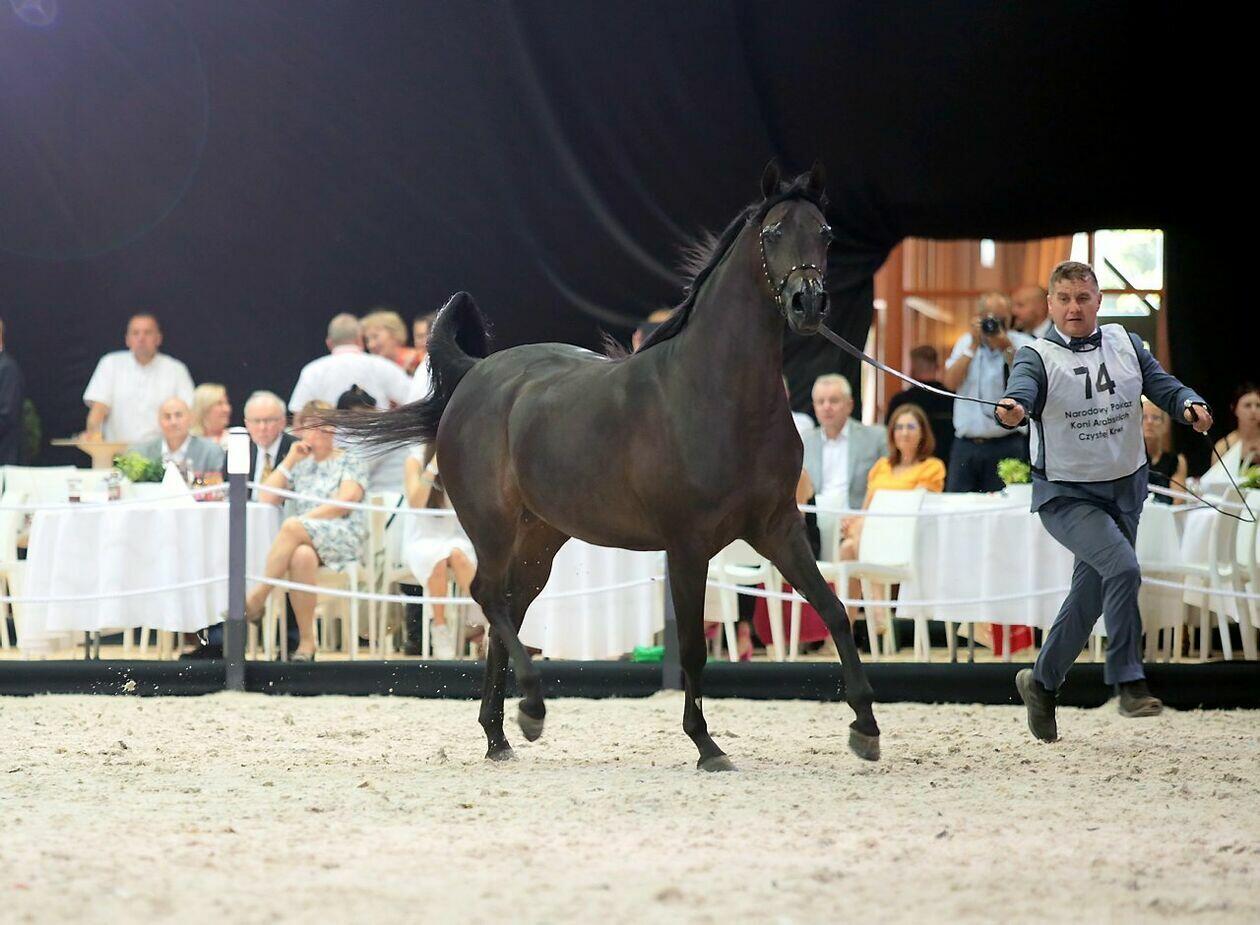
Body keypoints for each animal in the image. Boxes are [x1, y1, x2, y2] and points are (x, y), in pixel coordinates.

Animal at [336, 162, 880, 768]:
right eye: (774, 232)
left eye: (826, 234)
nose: (808, 305)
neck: (718, 394)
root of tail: (476, 374)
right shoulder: (688, 543)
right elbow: (692, 647)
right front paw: (706, 744)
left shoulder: (777, 526)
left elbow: (834, 610)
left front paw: (865, 726)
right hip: (492, 526)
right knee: (487, 597)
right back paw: (532, 711)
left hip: (539, 538)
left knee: (507, 610)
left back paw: (498, 735)